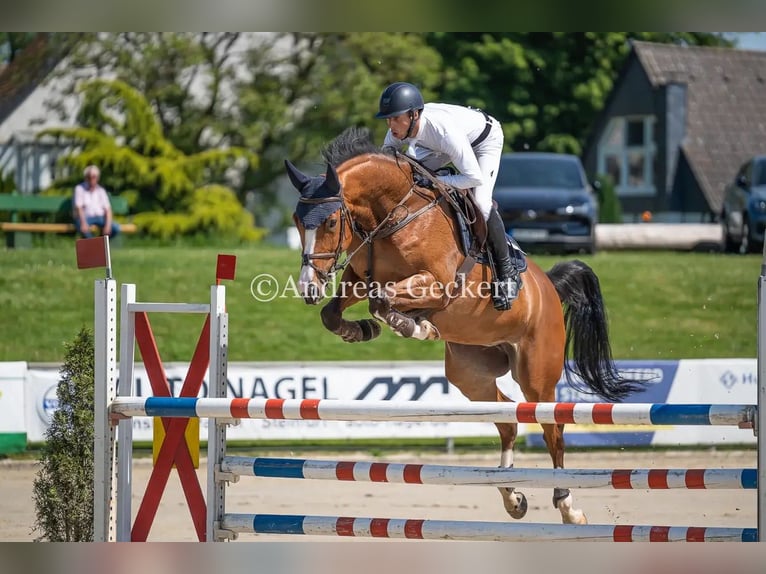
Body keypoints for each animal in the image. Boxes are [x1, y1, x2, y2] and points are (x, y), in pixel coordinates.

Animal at [284, 126, 640, 528]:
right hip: (470, 373)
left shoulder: (436, 283)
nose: (308, 288)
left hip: (536, 372)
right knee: (508, 420)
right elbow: (337, 312)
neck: (394, 214)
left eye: (330, 221)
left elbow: (382, 300)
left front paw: (414, 326)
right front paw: (362, 330)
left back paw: (568, 506)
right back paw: (512, 496)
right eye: (297, 221)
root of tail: (548, 286)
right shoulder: (358, 279)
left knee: (553, 430)